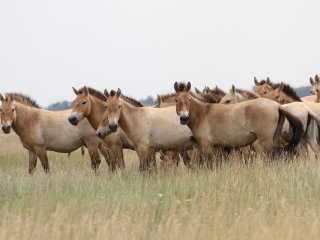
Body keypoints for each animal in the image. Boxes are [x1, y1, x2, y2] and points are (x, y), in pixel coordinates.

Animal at [174, 82, 304, 163]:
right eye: (176, 100)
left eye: (189, 100)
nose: (184, 118)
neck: (202, 114)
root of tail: (278, 106)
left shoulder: (207, 146)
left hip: (266, 141)